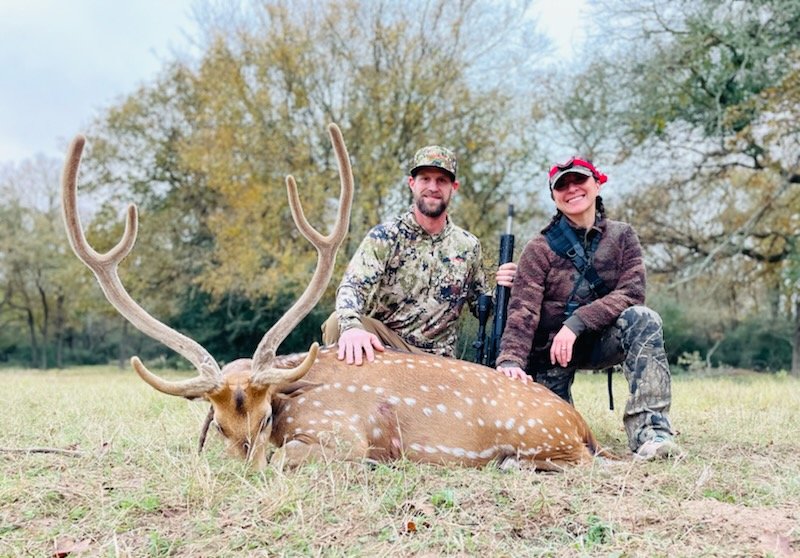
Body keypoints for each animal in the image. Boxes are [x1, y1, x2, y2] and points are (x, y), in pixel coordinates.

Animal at [62, 123, 612, 472]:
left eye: (267, 417)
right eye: (217, 427)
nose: (247, 470)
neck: (291, 391)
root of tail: (580, 422)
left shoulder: (342, 428)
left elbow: (290, 455)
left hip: (542, 438)